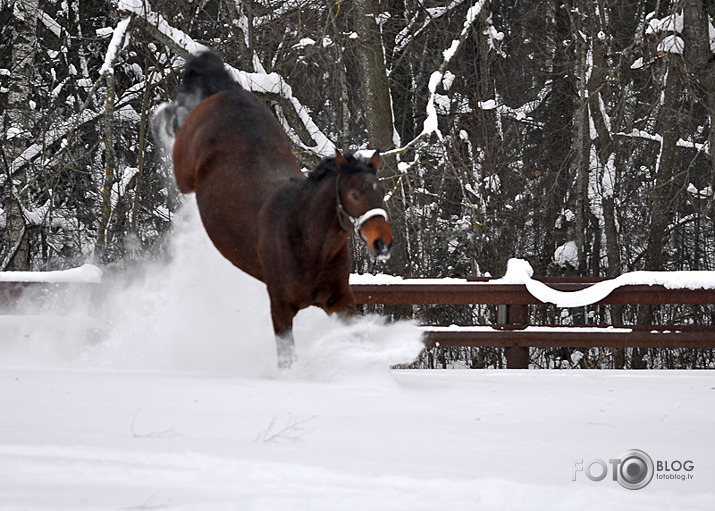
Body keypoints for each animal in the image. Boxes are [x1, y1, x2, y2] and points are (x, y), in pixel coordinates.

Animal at [153, 51, 394, 368]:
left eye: (381, 193)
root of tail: (227, 90)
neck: (307, 239)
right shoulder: (280, 307)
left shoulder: (339, 301)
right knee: (170, 117)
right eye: (354, 194)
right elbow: (287, 359)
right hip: (184, 174)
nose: (383, 243)